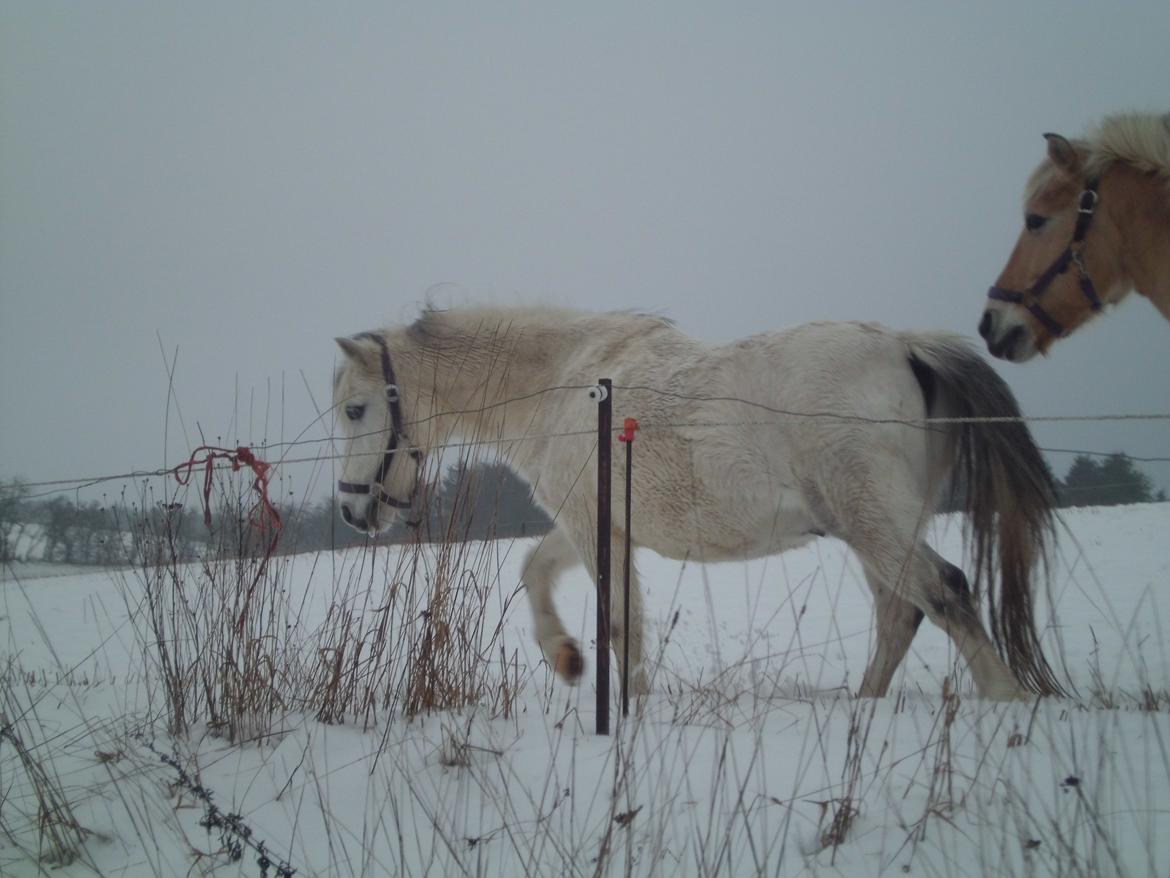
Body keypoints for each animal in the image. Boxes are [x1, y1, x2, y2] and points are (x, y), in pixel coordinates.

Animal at [334, 306, 1067, 707]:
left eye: (354, 409)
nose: (352, 512)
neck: (565, 383)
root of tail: (906, 346)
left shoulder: (594, 528)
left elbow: (620, 624)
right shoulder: (593, 523)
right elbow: (537, 572)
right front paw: (566, 658)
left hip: (874, 521)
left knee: (945, 593)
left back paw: (1004, 703)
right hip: (874, 528)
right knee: (901, 614)